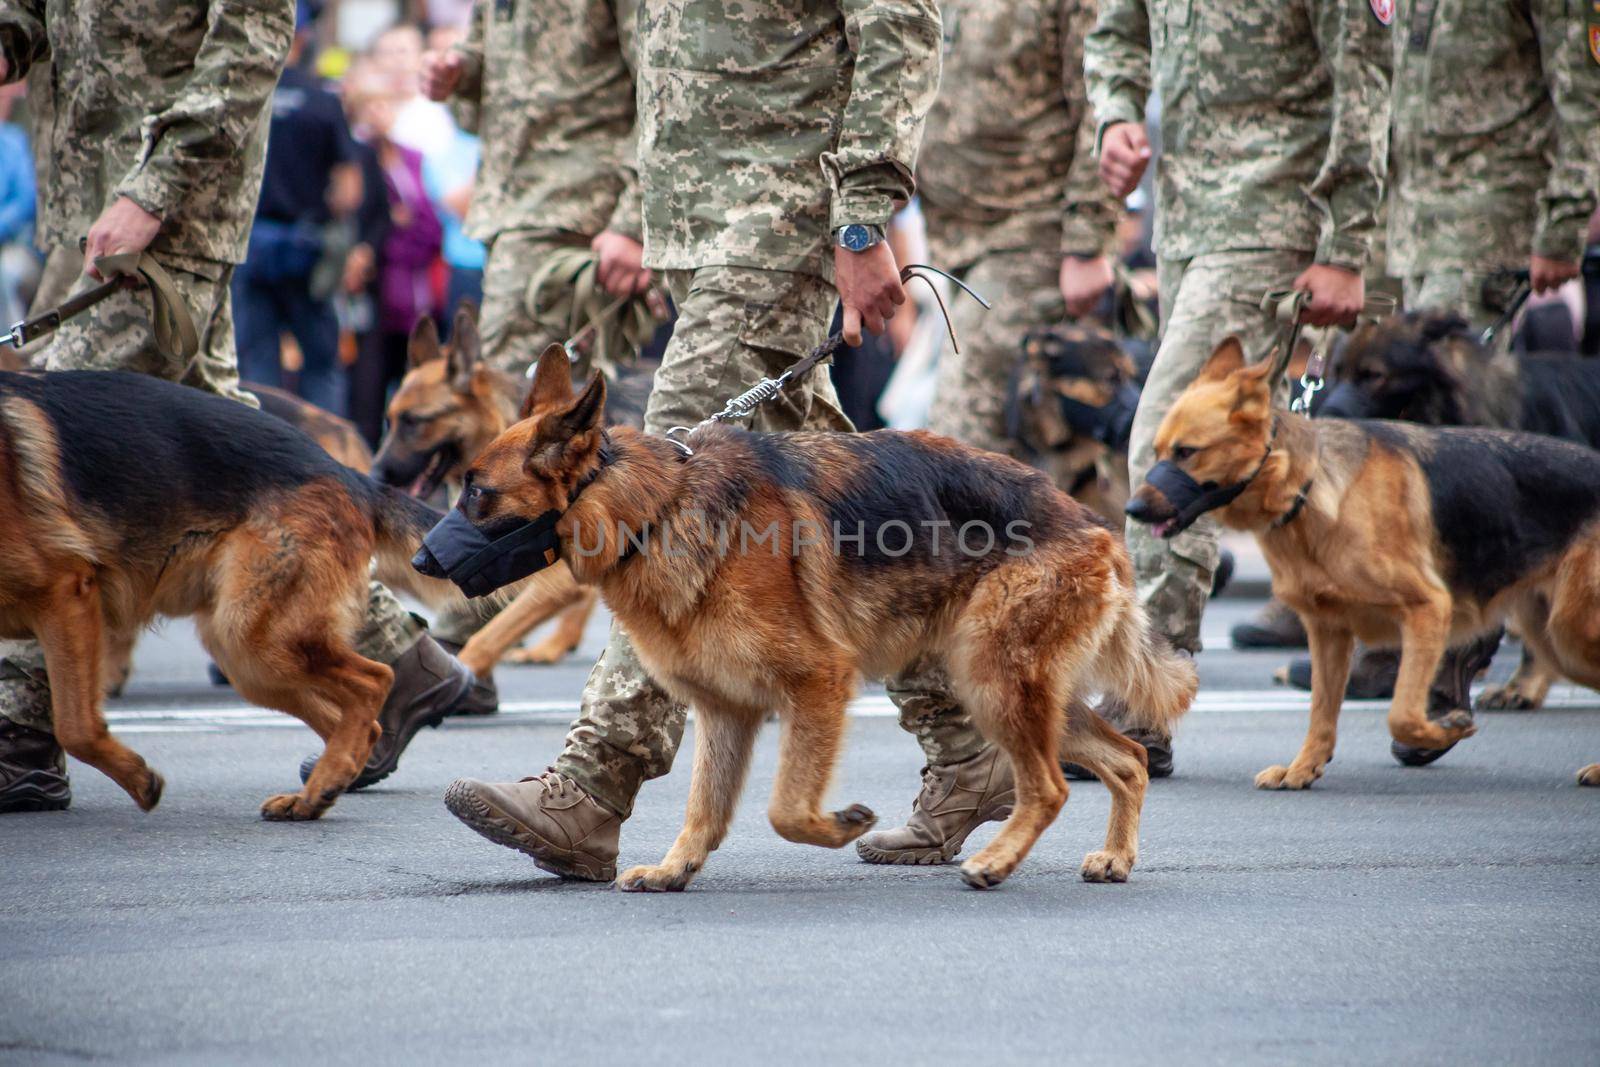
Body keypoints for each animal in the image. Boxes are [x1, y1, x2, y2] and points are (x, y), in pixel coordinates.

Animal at [1, 367, 464, 819]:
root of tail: (354, 479)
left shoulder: (65, 593)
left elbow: (75, 725)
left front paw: (139, 779)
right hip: (246, 655)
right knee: (361, 720)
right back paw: (318, 791)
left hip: (254, 639)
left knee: (374, 679)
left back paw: (322, 786)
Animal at [432, 348, 1196, 895]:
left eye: (478, 492)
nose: (419, 556)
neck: (652, 506)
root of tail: (1093, 524)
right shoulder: (726, 711)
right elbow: (705, 804)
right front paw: (678, 866)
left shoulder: (818, 685)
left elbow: (784, 809)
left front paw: (837, 826)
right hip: (1013, 688)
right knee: (1125, 760)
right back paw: (1115, 856)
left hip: (994, 681)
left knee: (1050, 786)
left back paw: (998, 859)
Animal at [1126, 337, 1600, 790]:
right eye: (1158, 450)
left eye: (1187, 451)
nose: (1131, 509)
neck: (1306, 489)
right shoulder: (1328, 632)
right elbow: (1321, 711)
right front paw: (1303, 769)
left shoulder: (1428, 610)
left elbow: (1402, 713)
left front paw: (1444, 731)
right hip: (1553, 638)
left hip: (1570, 632)